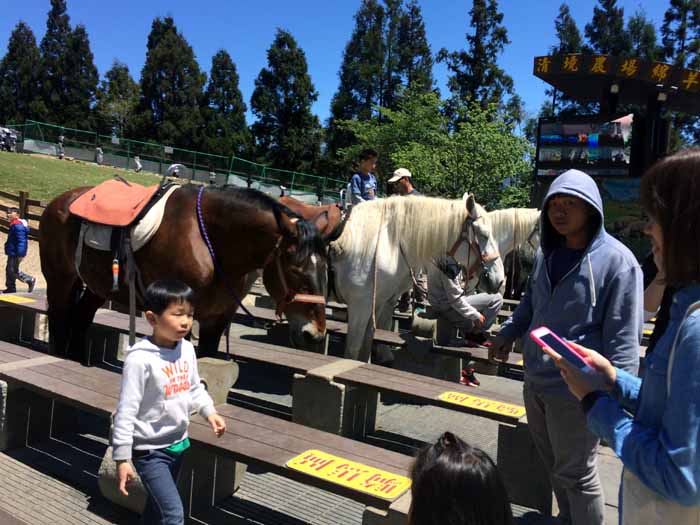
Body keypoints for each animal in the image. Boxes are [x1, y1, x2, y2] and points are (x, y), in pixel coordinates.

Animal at [39, 184, 330, 360]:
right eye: (295, 269)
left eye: (326, 268)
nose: (314, 335)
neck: (211, 241)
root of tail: (58, 202)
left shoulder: (216, 321)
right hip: (60, 280)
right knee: (60, 319)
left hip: (97, 287)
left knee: (81, 318)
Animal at [330, 194, 506, 362]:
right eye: (484, 235)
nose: (499, 280)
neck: (388, 244)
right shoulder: (360, 305)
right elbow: (352, 352)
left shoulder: (379, 302)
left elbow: (367, 345)